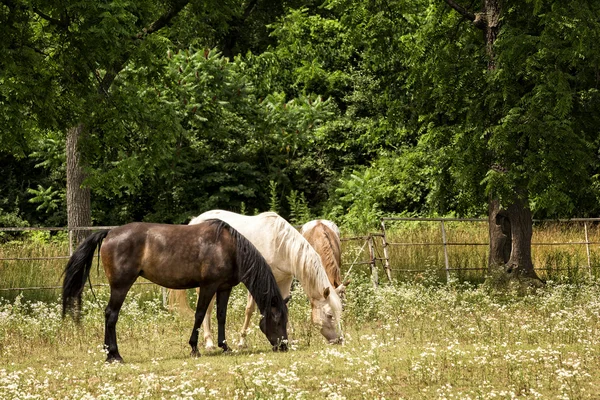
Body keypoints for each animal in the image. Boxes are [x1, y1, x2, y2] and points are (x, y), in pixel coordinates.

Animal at [61, 219, 288, 362]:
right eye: (277, 320)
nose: (284, 346)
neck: (229, 248)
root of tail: (110, 232)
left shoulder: (224, 288)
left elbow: (221, 315)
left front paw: (224, 346)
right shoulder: (208, 286)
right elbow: (199, 315)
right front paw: (194, 348)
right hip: (120, 287)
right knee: (111, 315)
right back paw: (114, 355)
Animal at [171, 211, 344, 348]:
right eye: (329, 315)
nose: (340, 340)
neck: (279, 242)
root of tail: (195, 220)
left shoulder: (284, 280)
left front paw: (289, 339)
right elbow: (249, 310)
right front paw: (242, 341)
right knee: (206, 308)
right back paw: (209, 342)